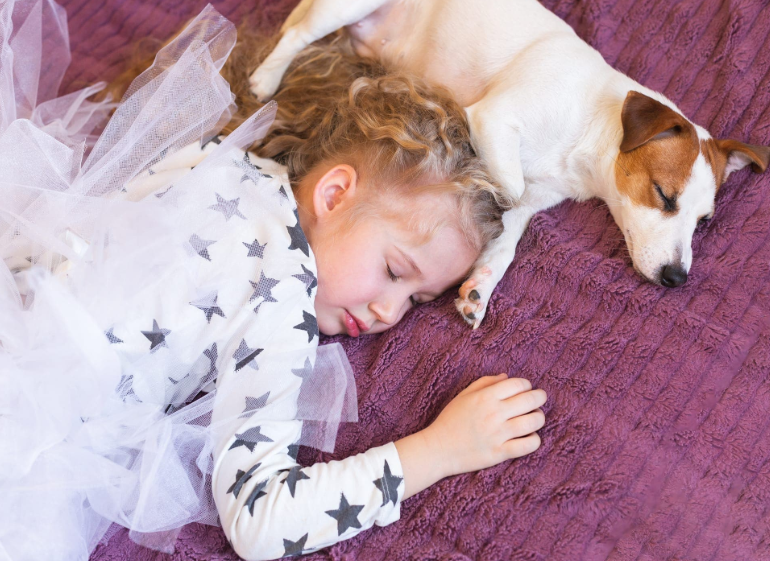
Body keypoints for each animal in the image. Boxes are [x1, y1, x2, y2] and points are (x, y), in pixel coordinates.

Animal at [249, 0, 764, 328]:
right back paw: (264, 78)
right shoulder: (494, 121)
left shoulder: (539, 194)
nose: (677, 279)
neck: (589, 121)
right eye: (663, 195)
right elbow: (505, 193)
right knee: (296, 35)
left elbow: (510, 230)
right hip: (345, 5)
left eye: (705, 221)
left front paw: (483, 280)